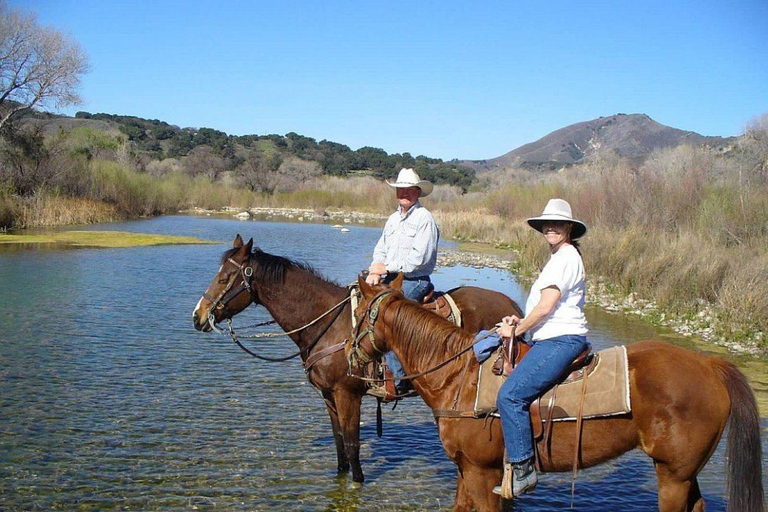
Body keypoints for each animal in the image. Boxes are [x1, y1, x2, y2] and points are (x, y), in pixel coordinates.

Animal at [190, 234, 520, 486]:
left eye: (224, 278)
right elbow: (339, 444)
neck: (327, 325)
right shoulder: (327, 395)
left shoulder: (348, 394)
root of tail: (511, 306)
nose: (198, 316)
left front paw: (358, 482)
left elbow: (351, 445)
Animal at [350, 278, 768, 512]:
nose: (349, 356)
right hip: (684, 474)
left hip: (673, 476)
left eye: (356, 317)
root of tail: (709, 364)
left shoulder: (483, 473)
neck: (459, 377)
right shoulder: (467, 470)